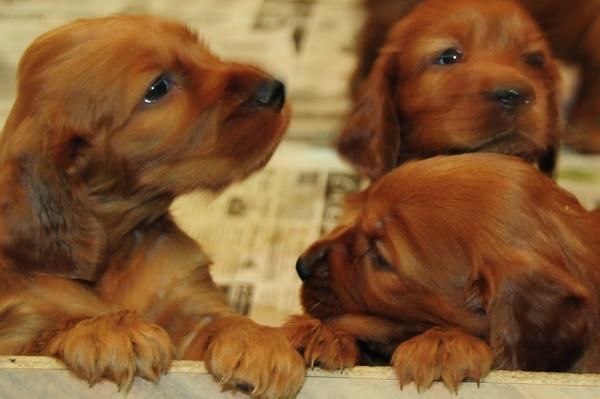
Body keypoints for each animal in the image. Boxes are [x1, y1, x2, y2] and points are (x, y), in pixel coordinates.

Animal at [0, 14, 304, 398]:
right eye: (157, 87)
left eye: (200, 49)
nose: (275, 90)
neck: (117, 250)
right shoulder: (20, 326)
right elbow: (53, 328)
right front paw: (109, 329)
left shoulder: (189, 300)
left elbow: (219, 320)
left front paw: (258, 340)